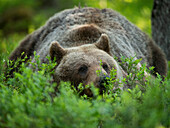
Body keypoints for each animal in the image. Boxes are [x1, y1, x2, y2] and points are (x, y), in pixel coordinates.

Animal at [8, 7, 167, 95]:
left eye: (105, 65)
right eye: (82, 68)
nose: (104, 80)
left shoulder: (133, 71)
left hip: (153, 54)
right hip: (27, 47)